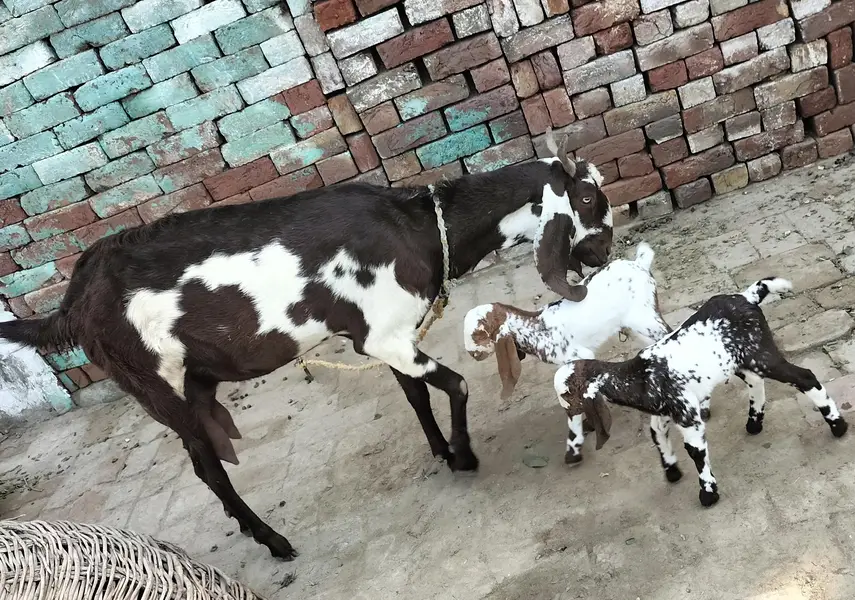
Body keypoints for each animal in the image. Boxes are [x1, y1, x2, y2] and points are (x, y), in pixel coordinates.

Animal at [0, 134, 613, 560]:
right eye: (586, 198)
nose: (603, 254)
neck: (416, 227)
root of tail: (72, 306)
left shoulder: (382, 337)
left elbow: (416, 396)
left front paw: (442, 451)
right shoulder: (386, 336)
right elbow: (458, 384)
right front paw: (464, 457)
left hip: (193, 383)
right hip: (160, 386)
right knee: (208, 470)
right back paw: (273, 541)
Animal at [463, 242, 672, 462]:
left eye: (478, 333)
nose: (472, 354)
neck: (538, 329)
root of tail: (640, 264)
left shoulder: (581, 355)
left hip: (645, 320)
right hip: (634, 326)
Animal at [554, 277, 849, 508]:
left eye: (566, 394)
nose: (570, 417)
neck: (641, 375)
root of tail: (748, 296)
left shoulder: (688, 418)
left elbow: (695, 451)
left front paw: (708, 493)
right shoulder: (664, 413)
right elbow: (658, 437)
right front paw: (672, 471)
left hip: (762, 355)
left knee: (805, 377)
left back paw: (838, 426)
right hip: (739, 362)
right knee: (756, 383)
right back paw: (754, 423)